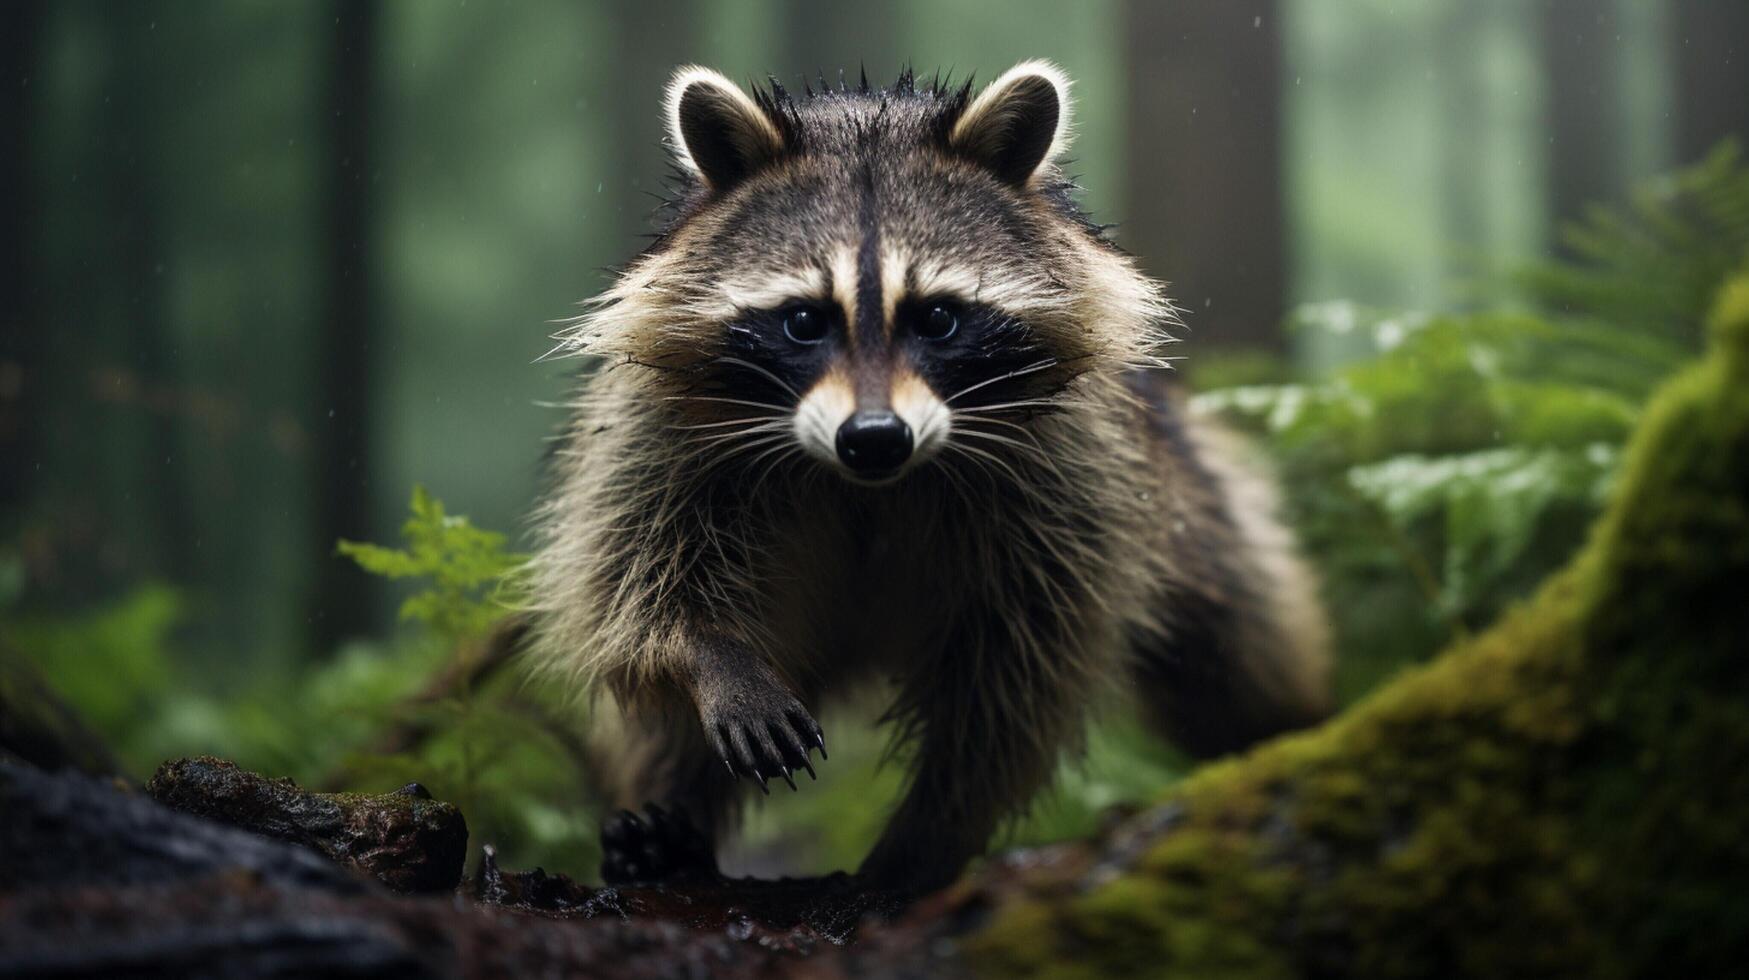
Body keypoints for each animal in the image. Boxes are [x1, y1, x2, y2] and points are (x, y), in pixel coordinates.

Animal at [528, 57, 1322, 892]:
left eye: (936, 318)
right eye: (804, 321)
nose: (874, 439)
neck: (869, 487)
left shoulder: (1075, 470)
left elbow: (1014, 675)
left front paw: (931, 831)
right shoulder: (658, 435)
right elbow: (633, 585)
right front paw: (714, 659)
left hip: (1184, 505)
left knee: (1239, 649)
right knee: (657, 724)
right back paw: (668, 817)